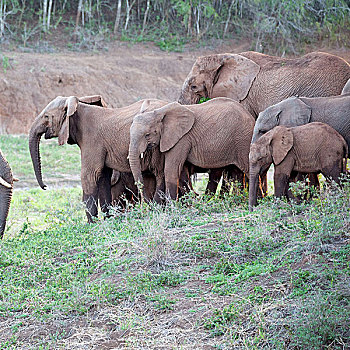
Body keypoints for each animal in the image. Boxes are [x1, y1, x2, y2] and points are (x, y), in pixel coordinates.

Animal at [28, 95, 168, 221]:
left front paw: (92, 224)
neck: (77, 108)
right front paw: (108, 221)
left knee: (159, 173)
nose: (45, 186)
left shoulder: (92, 141)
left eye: (46, 116)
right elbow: (103, 177)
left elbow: (89, 176)